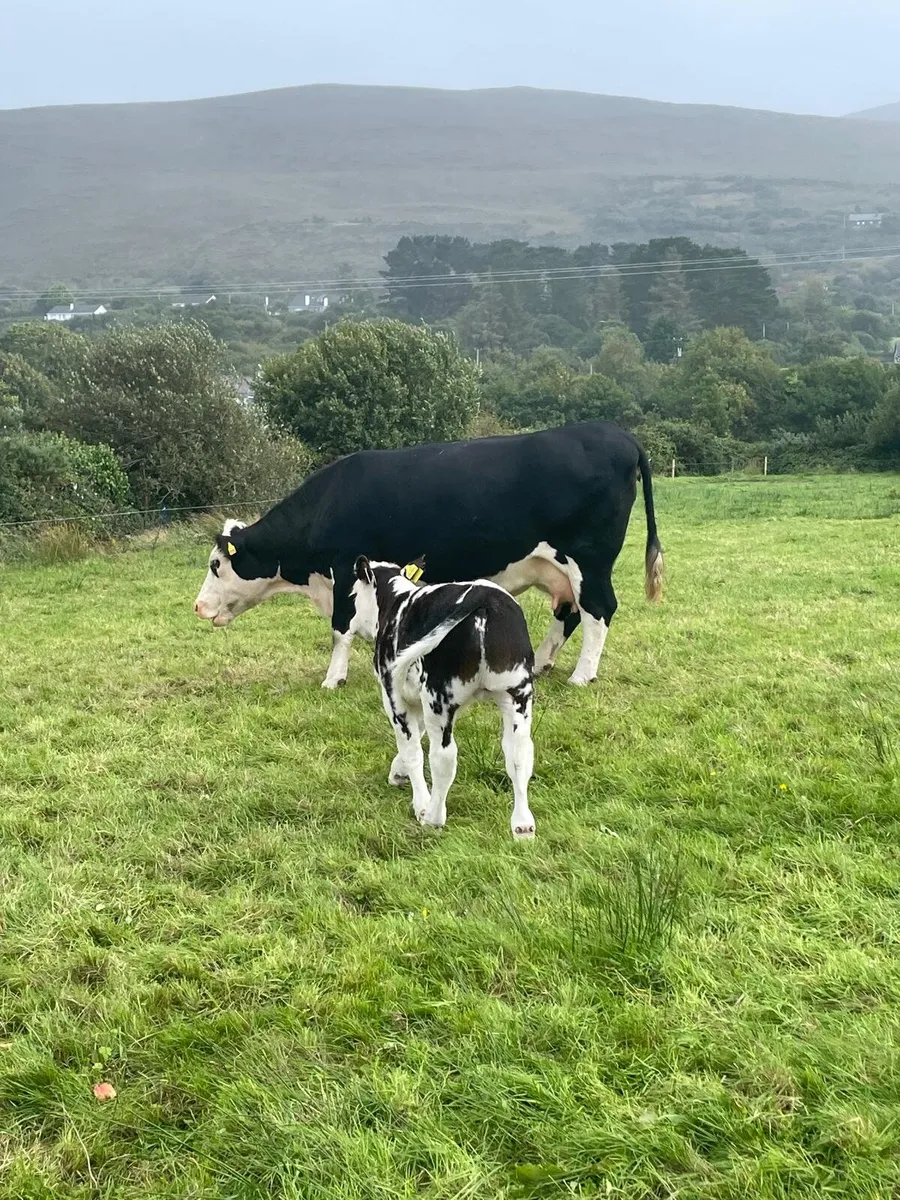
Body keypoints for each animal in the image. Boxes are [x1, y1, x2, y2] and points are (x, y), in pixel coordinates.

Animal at [193, 421, 663, 689]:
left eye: (216, 565)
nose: (198, 606)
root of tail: (618, 434)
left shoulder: (346, 568)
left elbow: (340, 629)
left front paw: (333, 678)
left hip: (589, 560)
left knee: (599, 610)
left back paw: (583, 675)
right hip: (559, 569)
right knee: (569, 614)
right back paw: (543, 664)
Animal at [352, 556, 536, 838]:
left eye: (352, 594)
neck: (396, 599)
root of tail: (484, 596)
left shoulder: (394, 697)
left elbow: (412, 748)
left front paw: (420, 803)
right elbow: (416, 735)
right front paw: (398, 773)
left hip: (438, 699)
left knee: (443, 757)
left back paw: (433, 818)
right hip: (517, 694)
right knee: (519, 754)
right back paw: (523, 825)